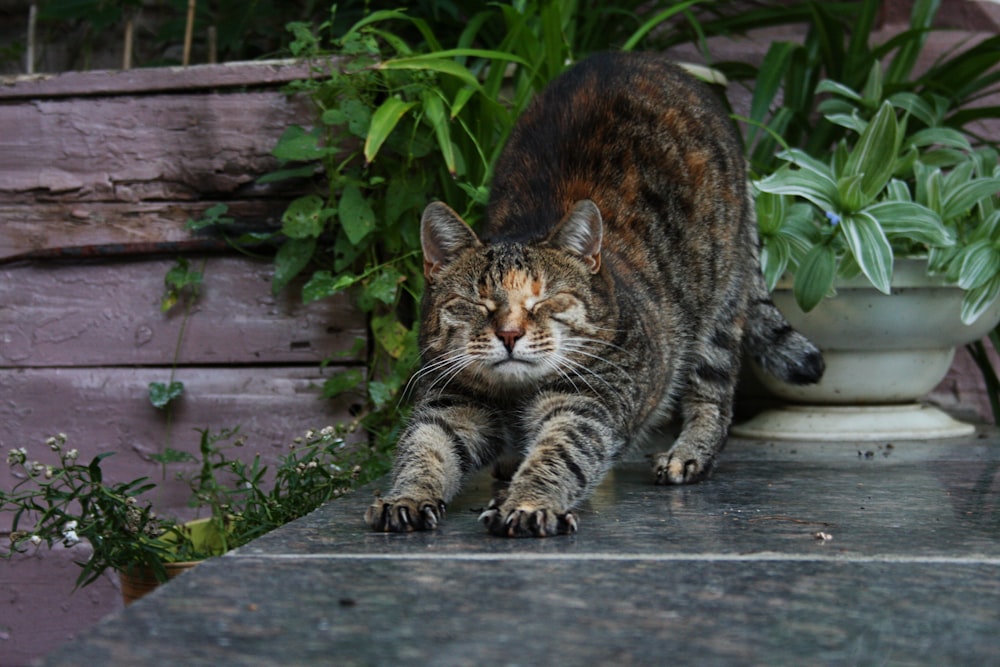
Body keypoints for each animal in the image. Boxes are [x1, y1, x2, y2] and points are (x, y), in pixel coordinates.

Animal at [364, 53, 824, 544]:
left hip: (718, 308)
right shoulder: (451, 405)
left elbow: (558, 455)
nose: (508, 334)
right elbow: (423, 450)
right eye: (478, 303)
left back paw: (688, 455)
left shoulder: (586, 405)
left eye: (544, 301)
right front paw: (406, 498)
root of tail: (643, 58)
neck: (515, 395)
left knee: (713, 394)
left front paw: (528, 504)